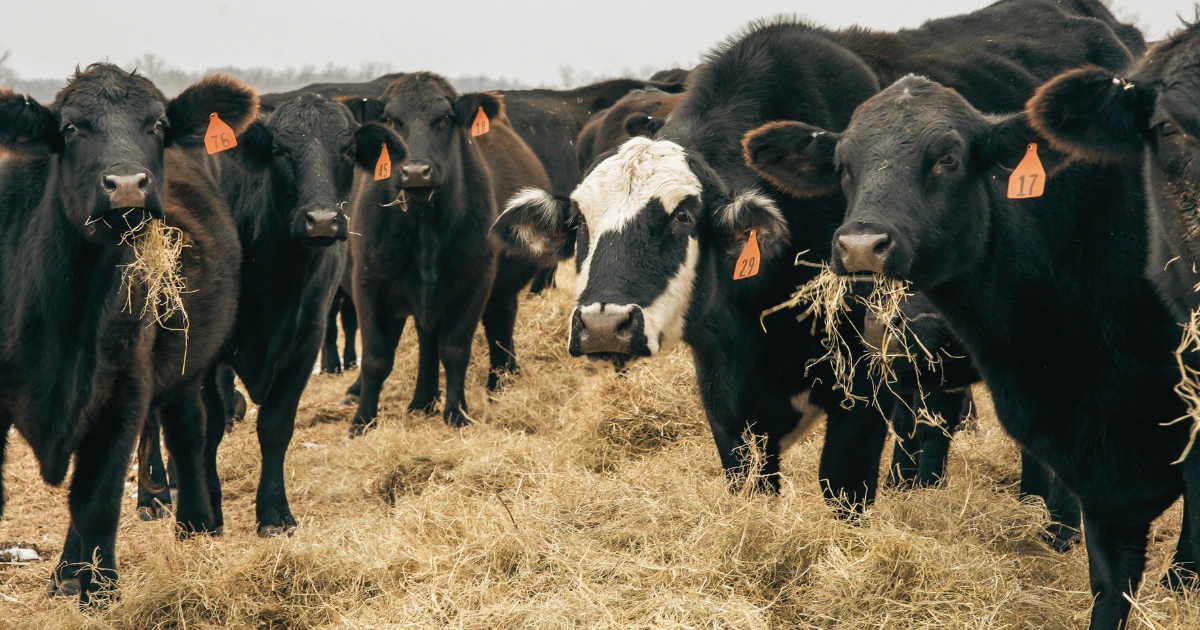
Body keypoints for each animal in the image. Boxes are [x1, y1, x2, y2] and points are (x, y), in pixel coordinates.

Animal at [0, 64, 254, 603]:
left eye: (157, 124)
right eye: (70, 128)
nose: (128, 187)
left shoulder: (125, 388)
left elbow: (97, 497)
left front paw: (101, 590)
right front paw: (78, 579)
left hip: (185, 369)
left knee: (188, 432)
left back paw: (195, 524)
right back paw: (64, 574)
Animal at [341, 73, 551, 432]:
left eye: (446, 118)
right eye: (390, 120)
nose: (415, 172)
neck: (423, 224)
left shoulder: (475, 281)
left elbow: (455, 350)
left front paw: (457, 412)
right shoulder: (368, 283)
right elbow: (376, 359)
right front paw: (362, 422)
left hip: (499, 290)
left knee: (499, 326)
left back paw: (500, 384)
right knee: (428, 340)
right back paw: (421, 400)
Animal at [492, 2, 1144, 514]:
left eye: (681, 216)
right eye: (579, 222)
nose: (604, 324)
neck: (760, 322)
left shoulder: (864, 390)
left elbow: (843, 489)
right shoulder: (728, 400)